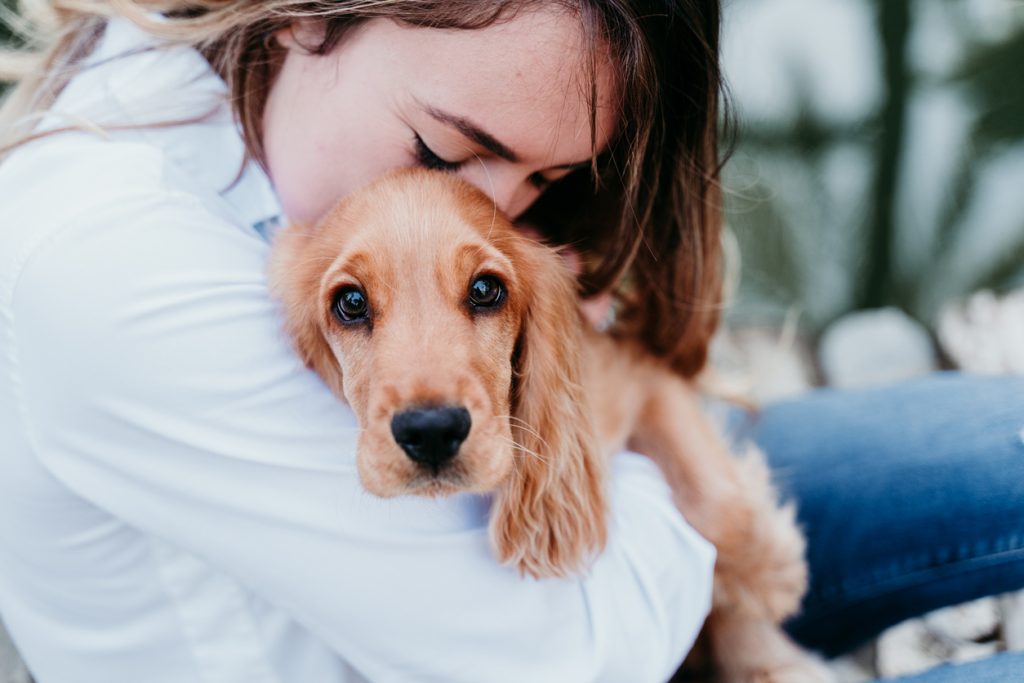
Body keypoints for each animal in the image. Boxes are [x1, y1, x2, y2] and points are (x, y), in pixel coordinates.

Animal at [270, 166, 831, 683]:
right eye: (351, 302)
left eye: (485, 289)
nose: (431, 431)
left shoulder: (642, 374)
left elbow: (718, 499)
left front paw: (770, 576)